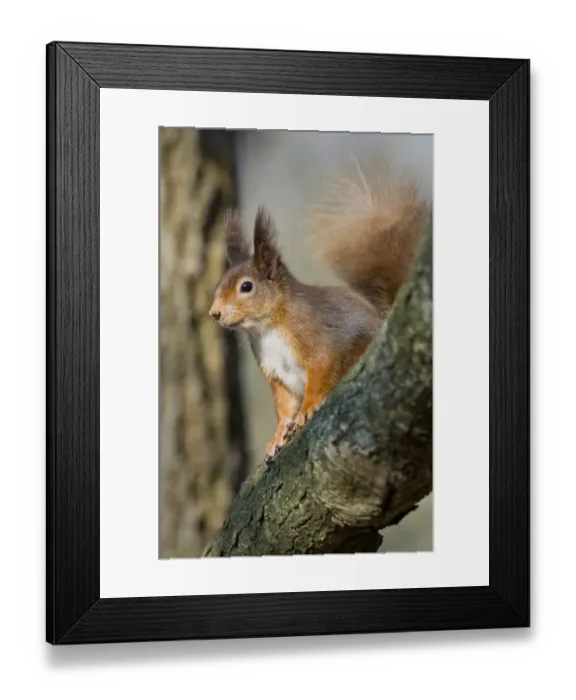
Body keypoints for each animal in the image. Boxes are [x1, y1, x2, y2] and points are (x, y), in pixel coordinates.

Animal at [208, 167, 431, 462]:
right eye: (220, 283)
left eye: (246, 287)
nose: (214, 313)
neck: (268, 328)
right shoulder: (275, 372)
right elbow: (284, 405)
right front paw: (278, 435)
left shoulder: (320, 339)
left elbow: (321, 374)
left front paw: (308, 409)